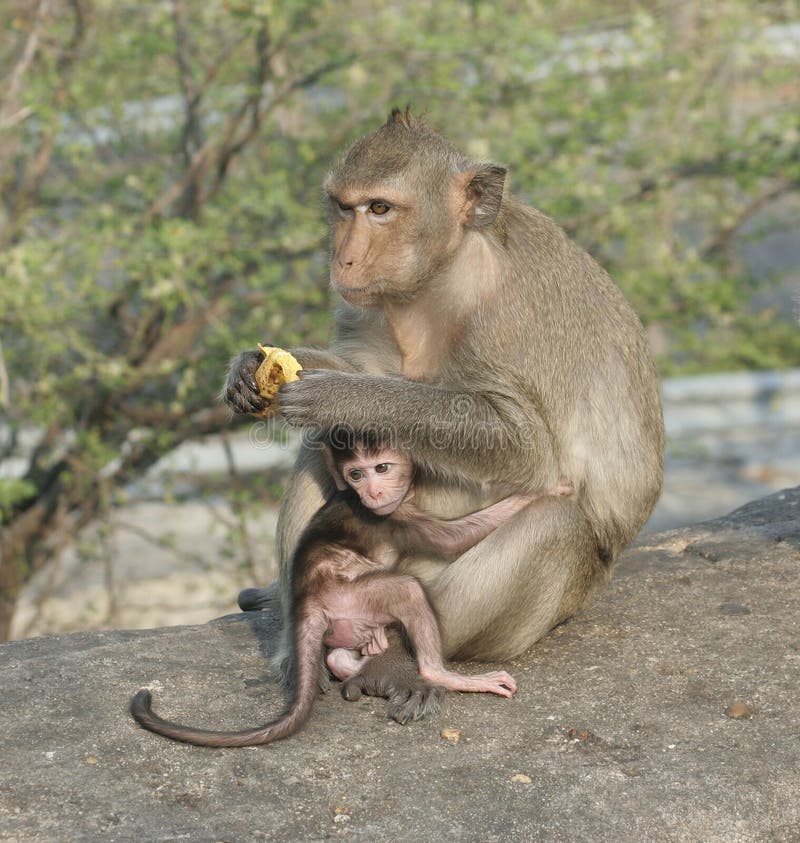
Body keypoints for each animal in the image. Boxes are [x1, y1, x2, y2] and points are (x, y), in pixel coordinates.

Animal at [130, 432, 568, 748]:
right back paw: (440, 674)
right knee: (407, 590)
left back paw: (355, 661)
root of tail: (306, 599)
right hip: (347, 595)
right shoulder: (394, 519)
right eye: (357, 474)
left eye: (382, 467)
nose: (372, 491)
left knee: (344, 647)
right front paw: (544, 493)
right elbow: (455, 538)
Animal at [225, 105, 664, 724]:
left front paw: (340, 396)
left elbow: (524, 443)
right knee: (319, 452)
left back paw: (403, 662)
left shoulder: (507, 313)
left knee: (557, 525)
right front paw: (248, 367)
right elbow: (361, 369)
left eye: (380, 209)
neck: (442, 275)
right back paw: (298, 643)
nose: (343, 257)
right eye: (342, 206)